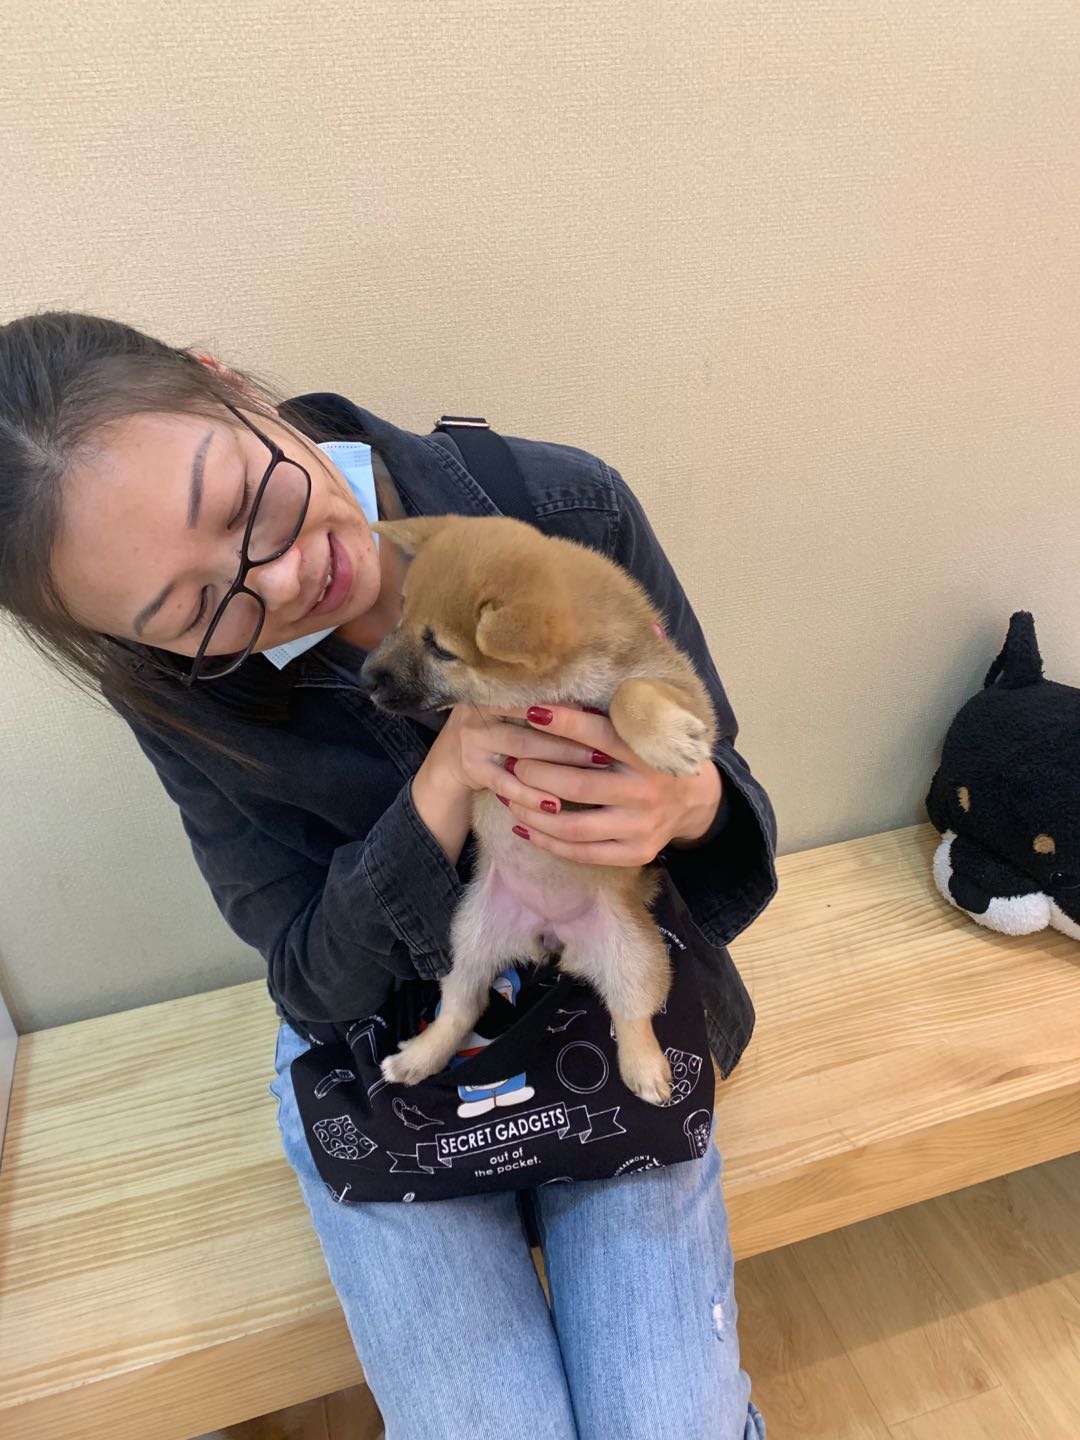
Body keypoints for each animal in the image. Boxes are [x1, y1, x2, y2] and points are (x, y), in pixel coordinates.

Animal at [360, 514, 716, 1104]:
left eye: (442, 650)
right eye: (401, 612)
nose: (365, 677)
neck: (557, 686)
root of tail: (551, 936)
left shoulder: (684, 690)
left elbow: (631, 693)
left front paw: (666, 740)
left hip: (636, 956)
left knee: (632, 1015)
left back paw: (644, 1068)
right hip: (469, 937)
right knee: (462, 1006)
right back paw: (420, 1056)